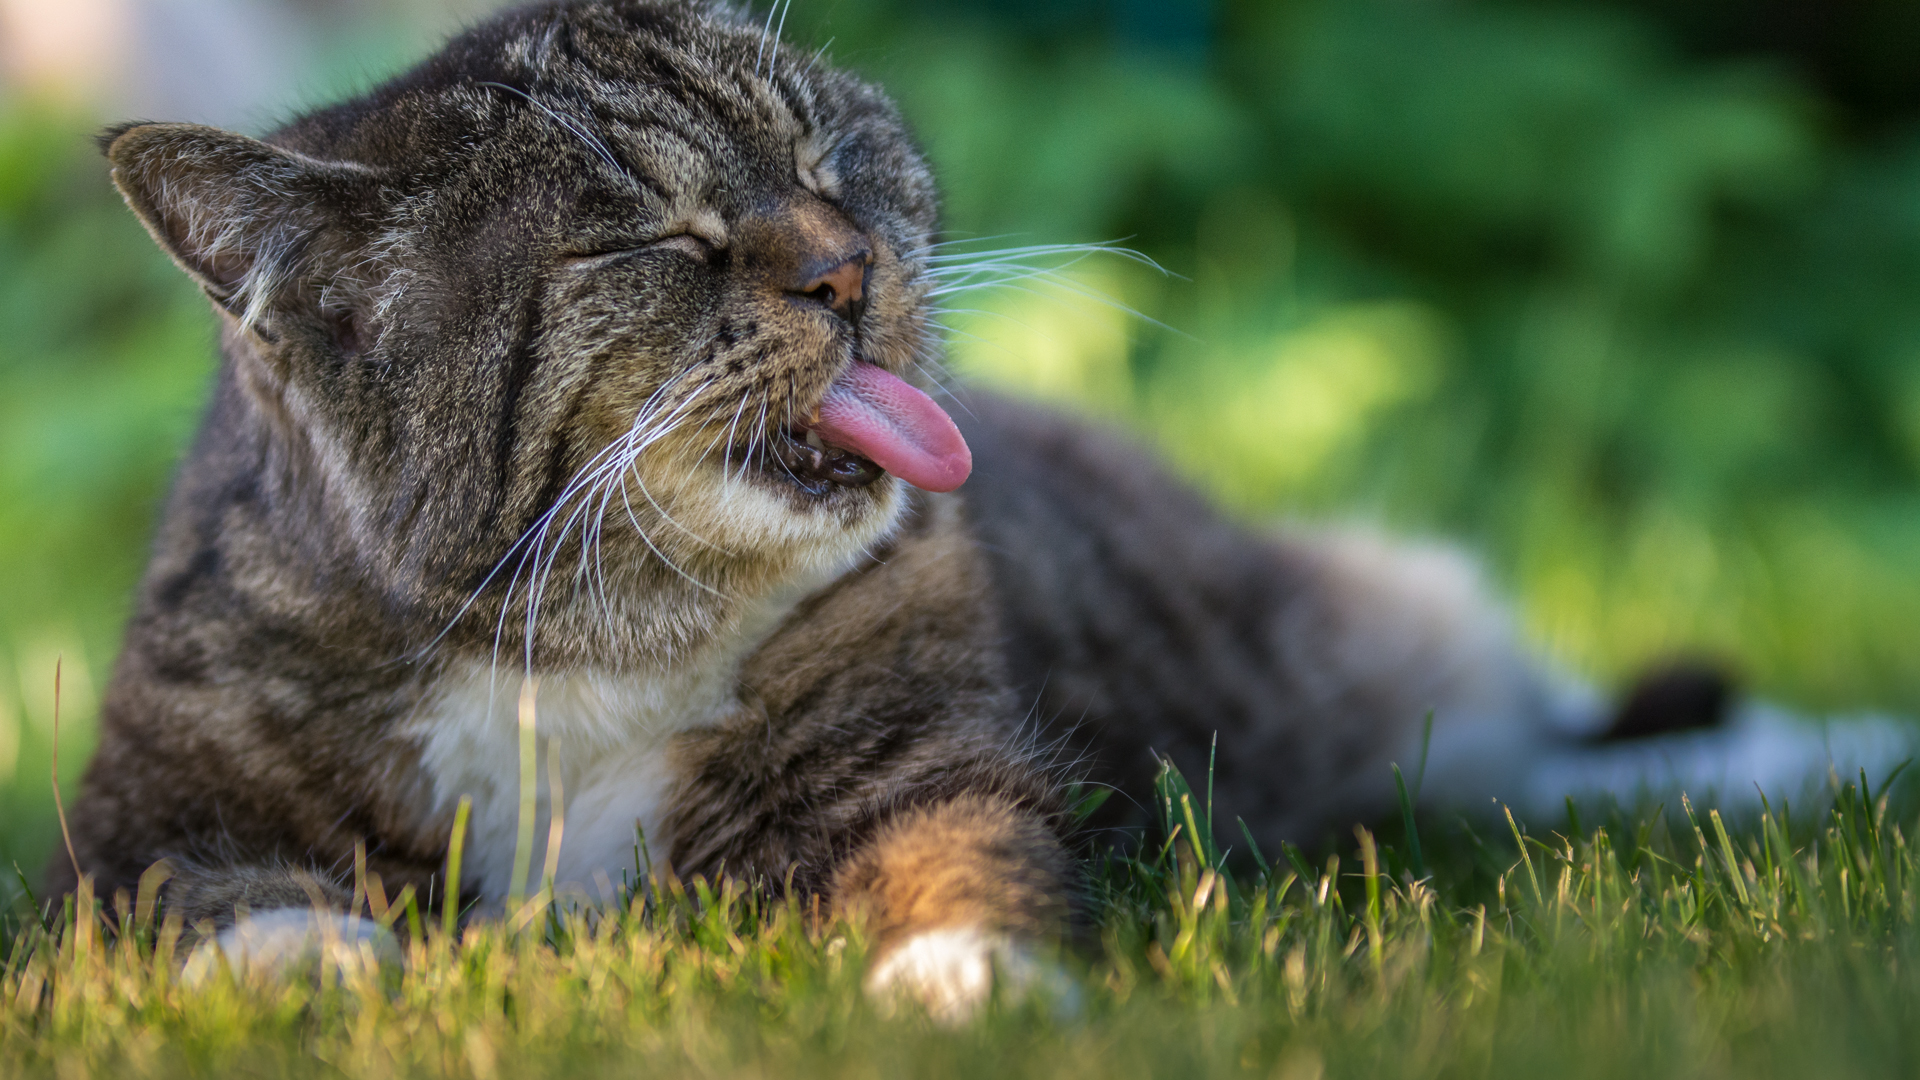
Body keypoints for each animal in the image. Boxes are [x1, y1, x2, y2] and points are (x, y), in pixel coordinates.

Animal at [52, 0, 1912, 1014]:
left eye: (826, 151)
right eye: (653, 237)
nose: (847, 265)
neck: (565, 669)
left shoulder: (927, 761)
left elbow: (962, 855)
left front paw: (969, 983)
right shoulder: (124, 833)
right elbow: (176, 905)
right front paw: (306, 955)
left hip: (1377, 657)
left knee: (1553, 730)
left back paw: (1829, 757)